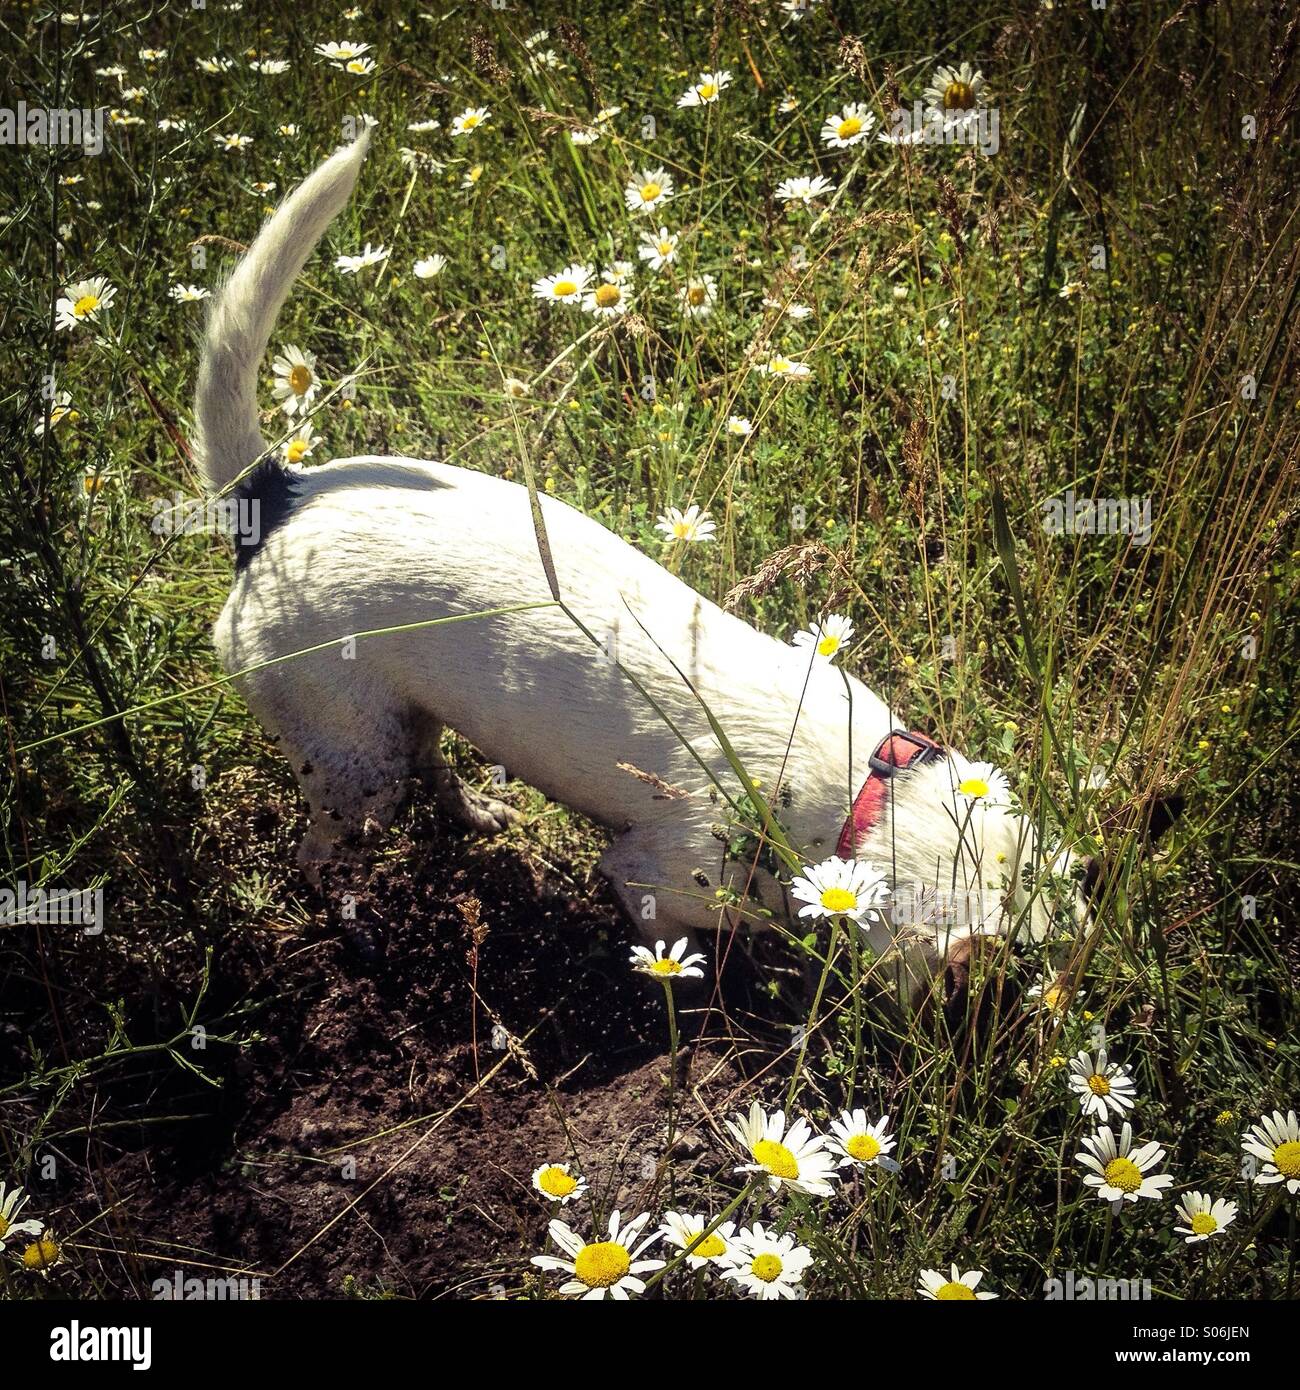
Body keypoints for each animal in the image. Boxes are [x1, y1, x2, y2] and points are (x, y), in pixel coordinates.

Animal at [196, 132, 1090, 1000]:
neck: (866, 794)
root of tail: (272, 495)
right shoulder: (653, 873)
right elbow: (701, 938)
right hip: (355, 771)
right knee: (320, 861)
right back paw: (359, 933)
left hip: (399, 723)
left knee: (431, 770)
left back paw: (481, 814)